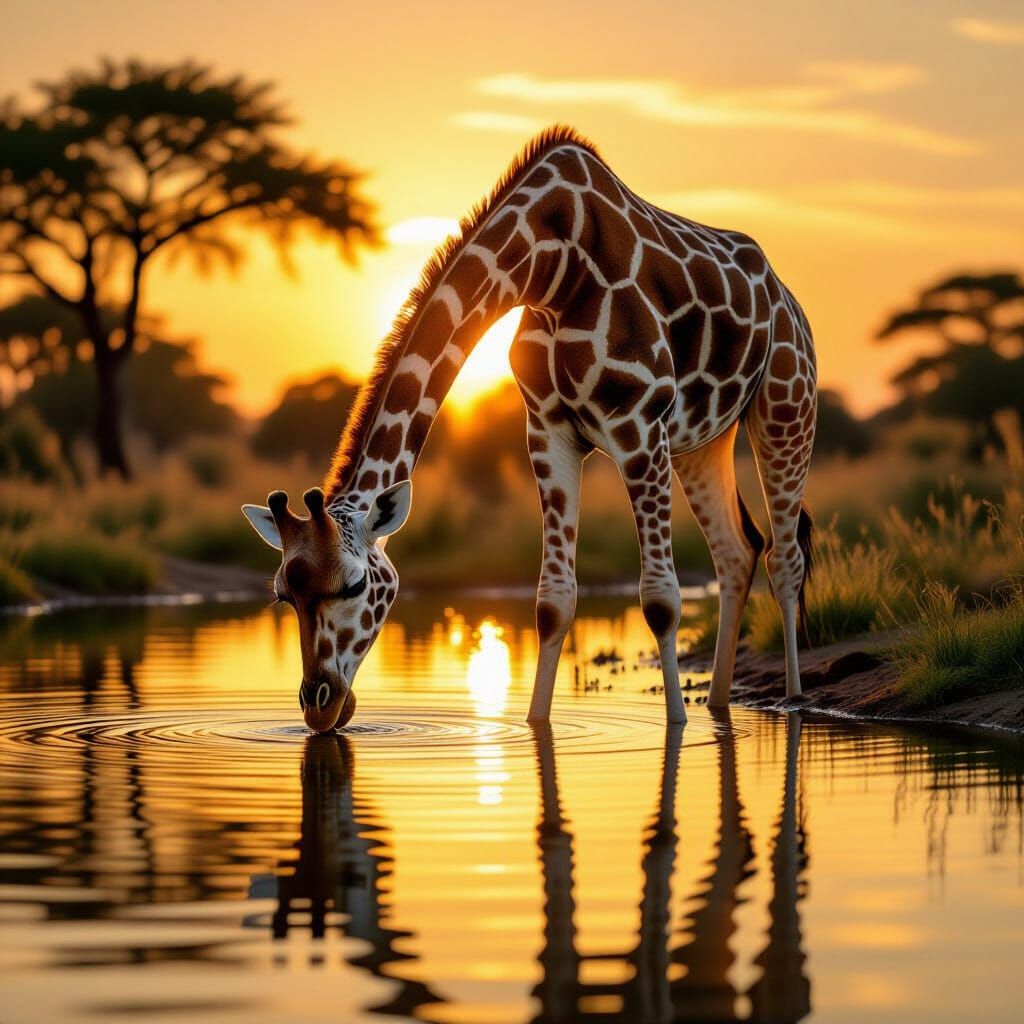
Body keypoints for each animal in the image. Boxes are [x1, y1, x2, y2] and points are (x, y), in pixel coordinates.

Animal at [243, 125, 816, 732]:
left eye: (355, 583)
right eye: (282, 594)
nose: (319, 706)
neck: (553, 264)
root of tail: (788, 300)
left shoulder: (637, 425)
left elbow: (661, 600)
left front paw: (678, 726)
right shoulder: (549, 431)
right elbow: (552, 603)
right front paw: (536, 726)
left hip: (786, 407)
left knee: (784, 558)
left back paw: (793, 701)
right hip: (700, 442)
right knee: (737, 551)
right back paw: (721, 705)